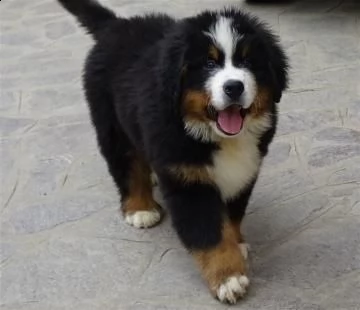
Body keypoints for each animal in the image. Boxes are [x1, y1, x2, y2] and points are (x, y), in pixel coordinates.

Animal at [57, 0, 286, 306]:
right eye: (209, 63)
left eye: (248, 62)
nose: (234, 86)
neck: (208, 133)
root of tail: (118, 25)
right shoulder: (187, 180)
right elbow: (209, 233)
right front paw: (228, 277)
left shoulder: (245, 172)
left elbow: (232, 216)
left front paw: (236, 244)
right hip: (112, 122)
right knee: (126, 165)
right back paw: (140, 208)